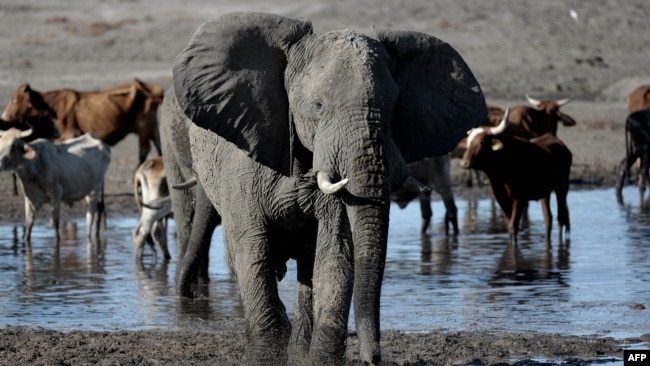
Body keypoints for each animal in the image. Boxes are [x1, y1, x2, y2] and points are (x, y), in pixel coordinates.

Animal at [2, 78, 165, 164]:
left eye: (15, 99)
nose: (4, 116)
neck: (51, 106)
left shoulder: (69, 135)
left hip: (144, 126)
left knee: (144, 150)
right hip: (152, 126)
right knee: (159, 146)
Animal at [165, 12, 484, 366]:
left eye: (392, 109)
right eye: (318, 106)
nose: (372, 359)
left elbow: (336, 254)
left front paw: (319, 360)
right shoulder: (242, 167)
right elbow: (253, 251)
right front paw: (268, 356)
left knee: (309, 267)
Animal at [458, 108, 568, 246]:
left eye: (482, 142)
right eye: (468, 142)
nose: (464, 163)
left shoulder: (519, 198)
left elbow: (513, 226)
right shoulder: (501, 198)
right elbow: (508, 226)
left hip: (562, 187)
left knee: (561, 218)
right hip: (545, 192)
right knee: (548, 218)